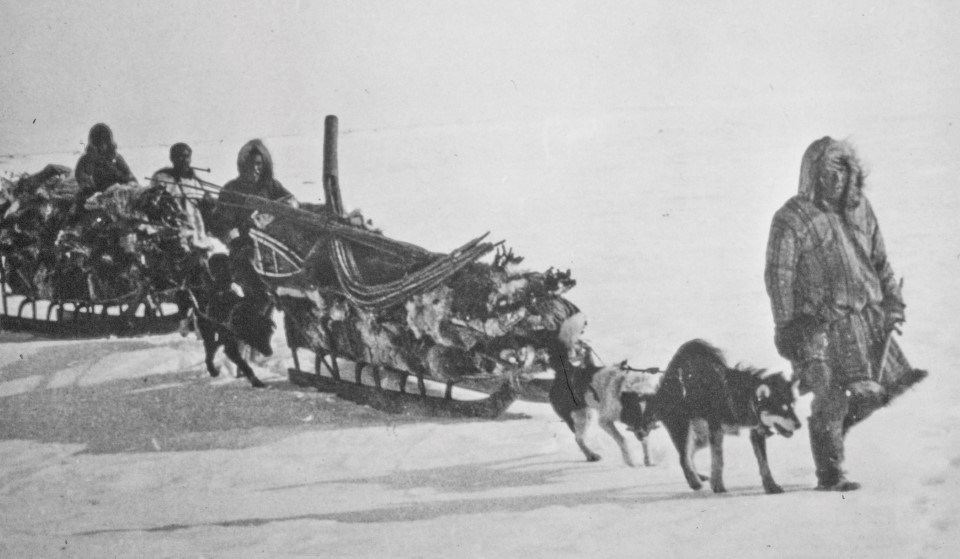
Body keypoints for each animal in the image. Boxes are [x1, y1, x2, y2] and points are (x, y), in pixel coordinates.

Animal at [644, 342, 804, 494]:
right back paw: (694, 481)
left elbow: (764, 463)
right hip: (684, 428)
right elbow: (718, 460)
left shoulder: (756, 432)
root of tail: (669, 377)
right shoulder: (717, 431)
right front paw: (718, 485)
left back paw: (698, 476)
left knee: (689, 454)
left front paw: (771, 485)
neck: (743, 396)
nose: (799, 425)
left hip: (701, 435)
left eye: (792, 407)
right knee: (684, 457)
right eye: (782, 409)